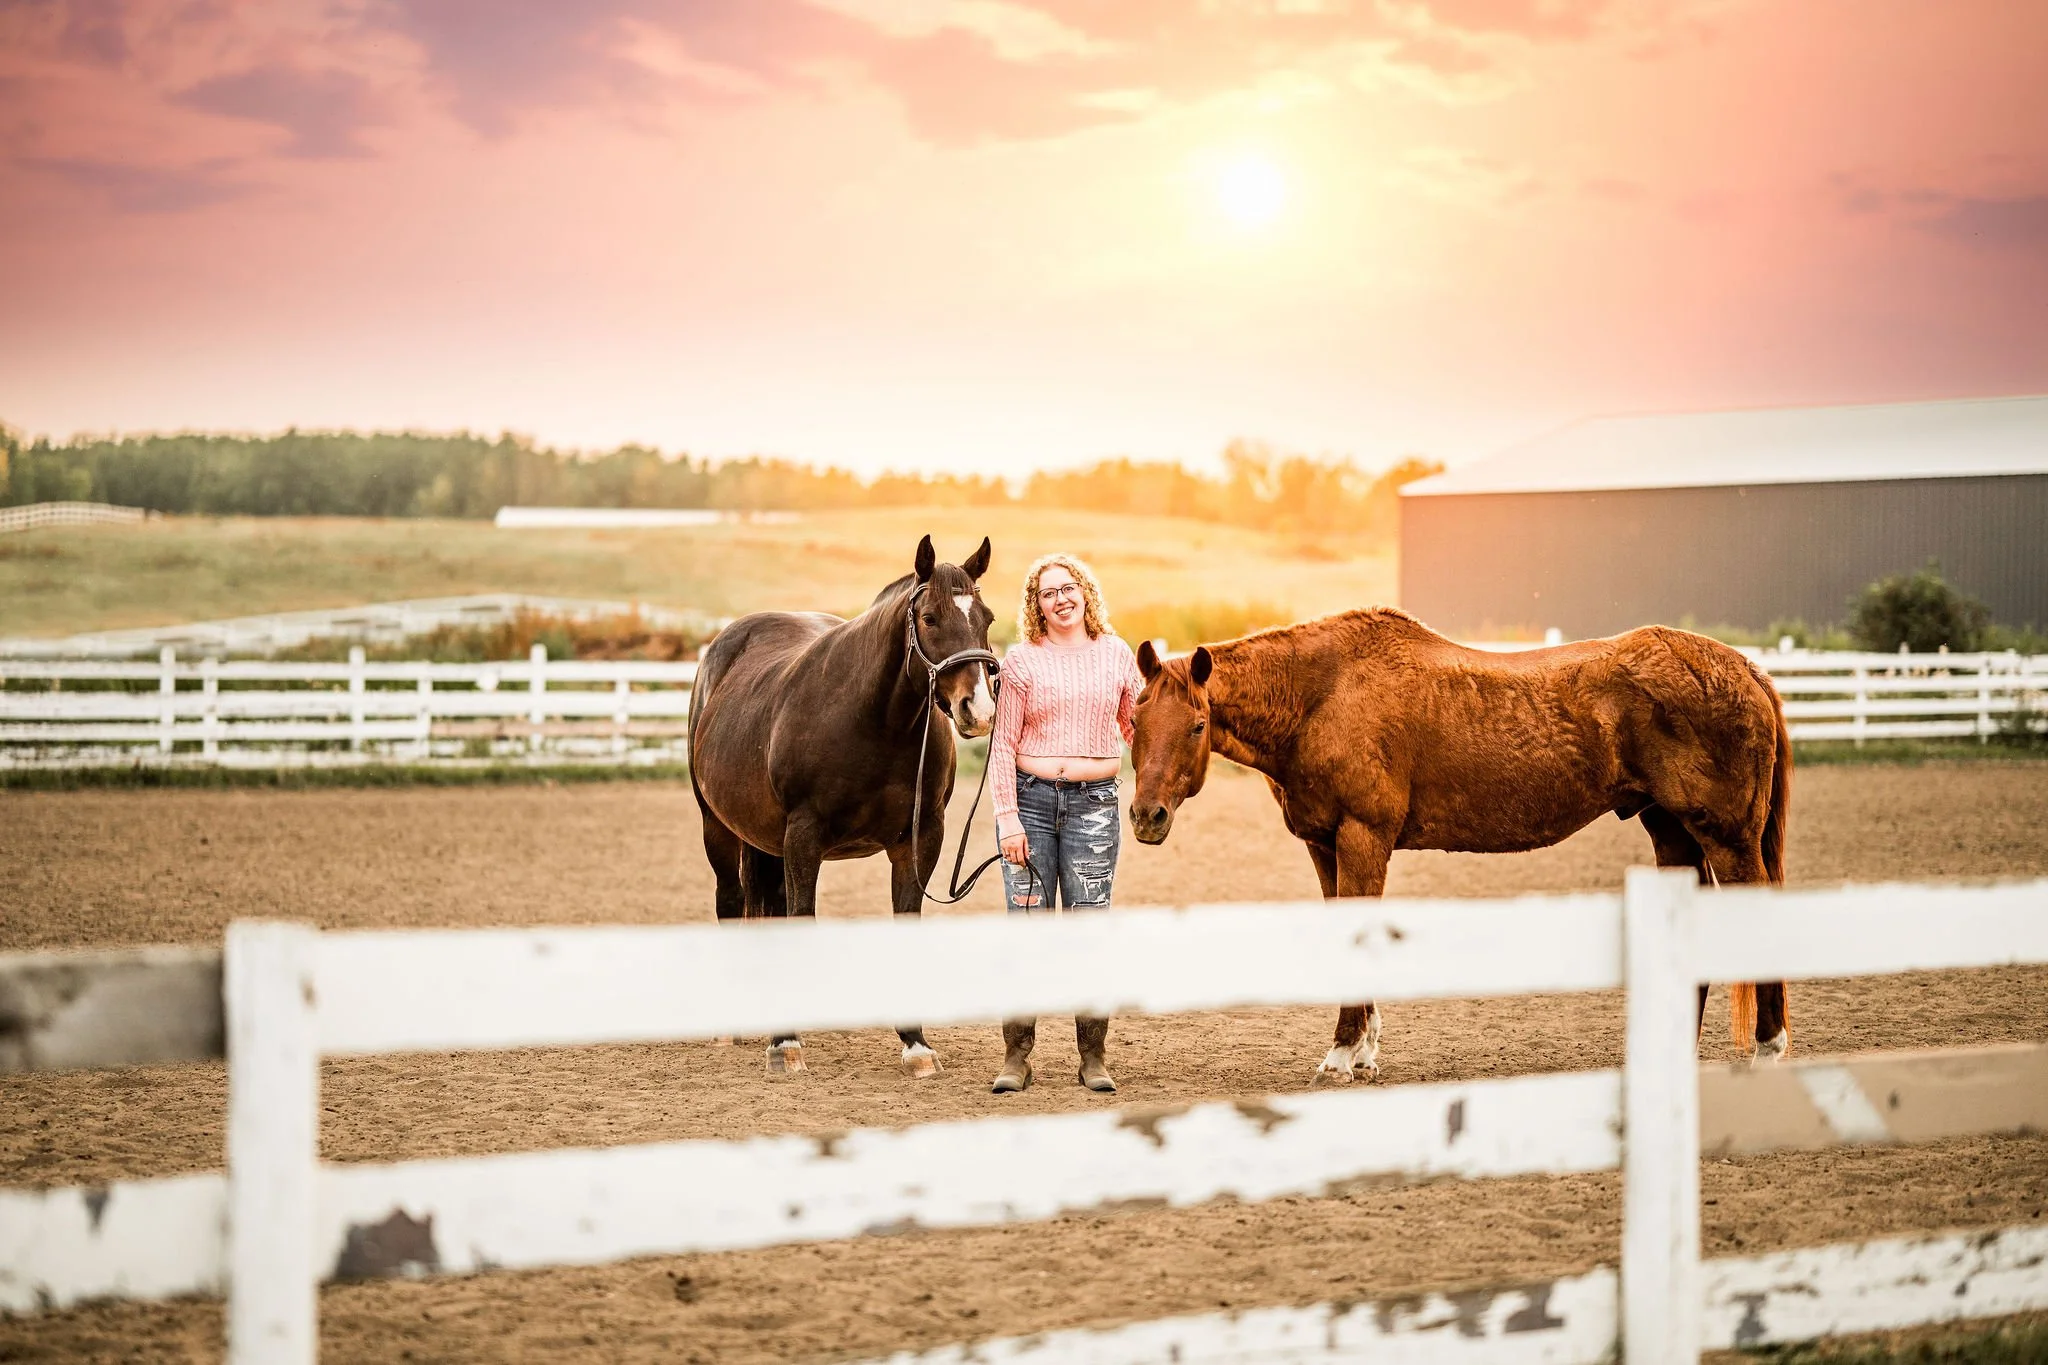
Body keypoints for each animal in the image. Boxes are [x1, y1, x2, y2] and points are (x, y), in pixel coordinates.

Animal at [687, 535, 998, 1078]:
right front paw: (785, 1043)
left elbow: (905, 923)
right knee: (730, 902)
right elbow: (800, 918)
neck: (875, 721)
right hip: (719, 828)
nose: (977, 711)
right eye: (930, 618)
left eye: (987, 617)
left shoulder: (921, 839)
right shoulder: (803, 835)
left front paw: (916, 1045)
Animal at [1128, 609, 1791, 1084]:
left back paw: (1769, 1047)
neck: (1324, 695)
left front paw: (1341, 1057)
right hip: (1671, 831)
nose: (1145, 816)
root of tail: (1745, 668)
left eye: (1196, 725)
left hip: (1726, 837)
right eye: (1135, 722)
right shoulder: (1324, 846)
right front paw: (1364, 1052)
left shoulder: (1362, 839)